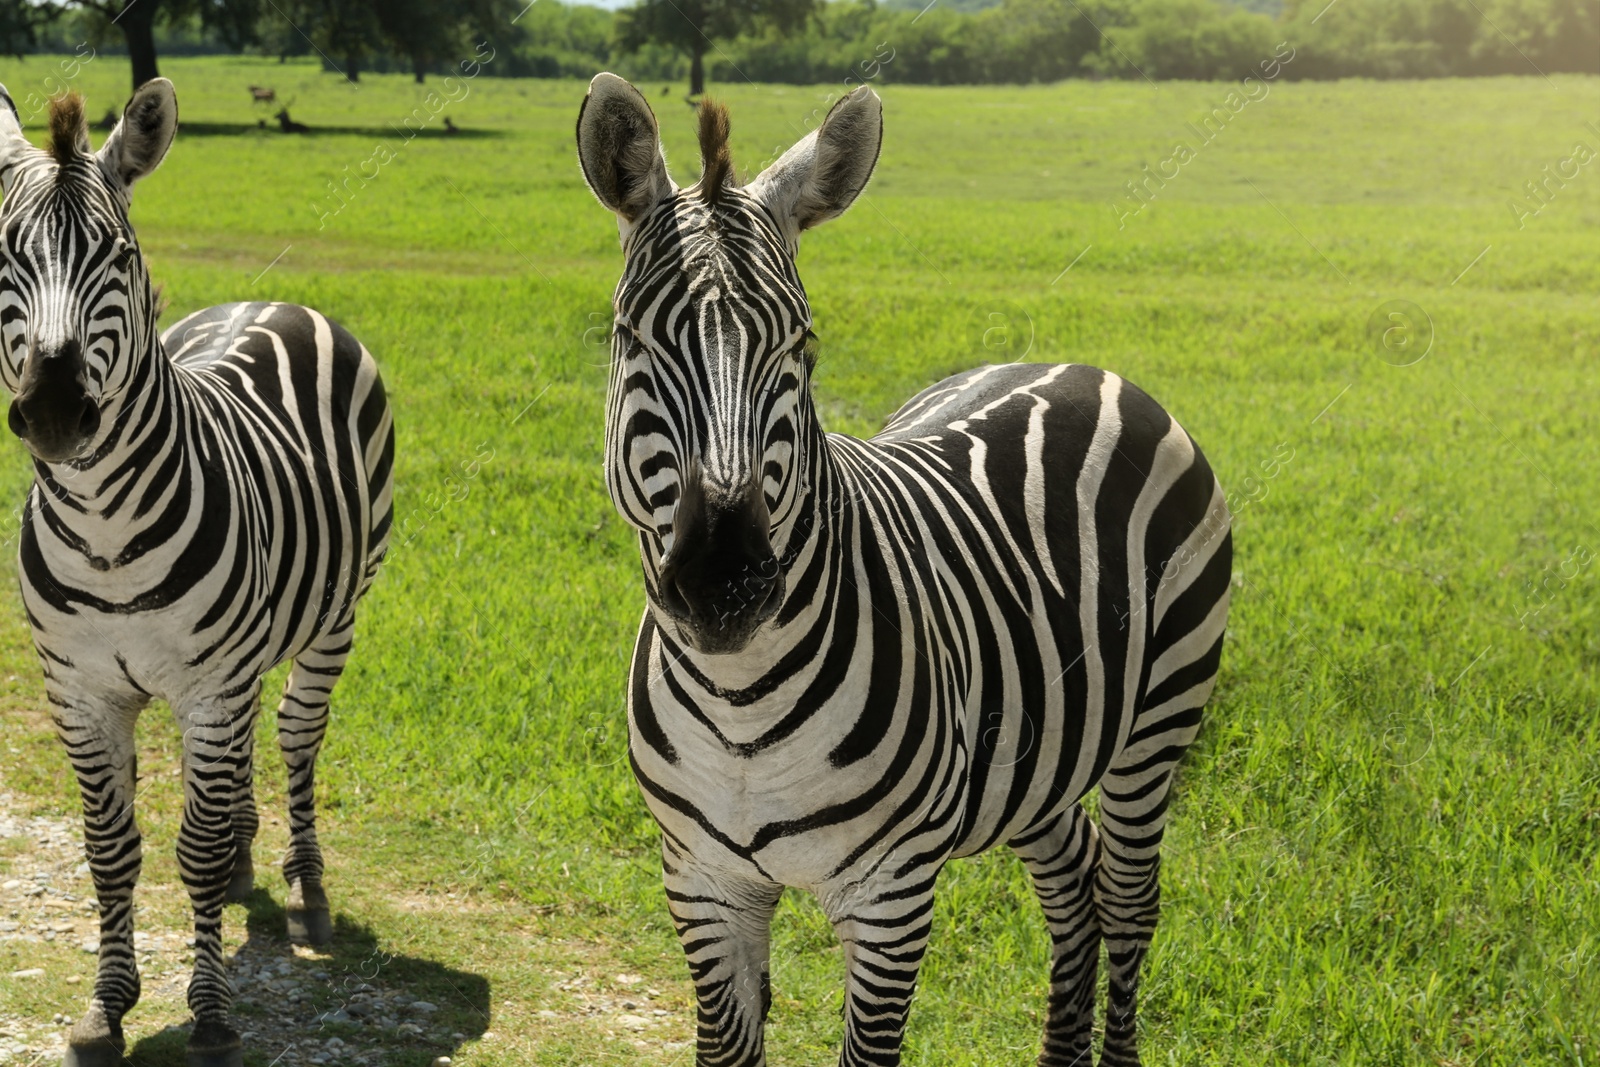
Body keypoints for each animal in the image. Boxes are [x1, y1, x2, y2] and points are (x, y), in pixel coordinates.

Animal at [1, 85, 395, 1067]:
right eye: (8, 255)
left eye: (119, 255)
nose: (55, 409)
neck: (103, 529)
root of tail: (274, 299)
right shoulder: (80, 692)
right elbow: (112, 852)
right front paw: (106, 1007)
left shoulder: (209, 686)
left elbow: (198, 851)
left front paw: (212, 1014)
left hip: (337, 615)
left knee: (295, 734)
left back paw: (303, 887)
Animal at [582, 70, 1228, 1062]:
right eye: (630, 340)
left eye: (802, 347)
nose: (727, 583)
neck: (739, 702)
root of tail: (1084, 366)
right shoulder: (702, 882)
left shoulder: (891, 899)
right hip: (1033, 755)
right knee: (1073, 884)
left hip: (1157, 725)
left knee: (1128, 901)